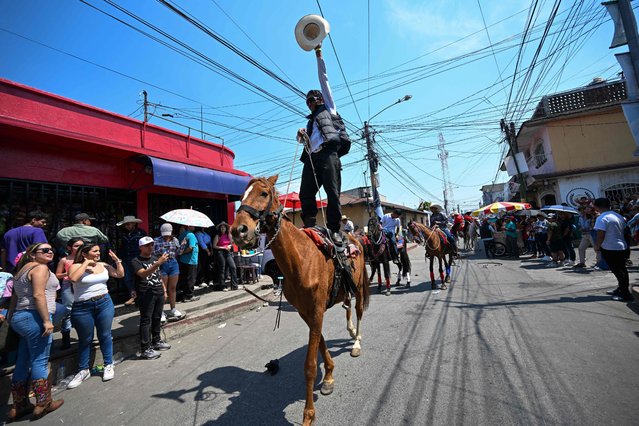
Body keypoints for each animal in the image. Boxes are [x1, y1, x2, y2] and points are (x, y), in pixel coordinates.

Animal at [230, 176, 370, 426]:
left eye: (264, 193)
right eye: (240, 197)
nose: (238, 230)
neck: (301, 260)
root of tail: (355, 237)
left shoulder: (316, 310)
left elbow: (310, 365)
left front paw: (308, 414)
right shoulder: (307, 313)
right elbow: (321, 344)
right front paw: (329, 377)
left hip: (360, 286)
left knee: (360, 310)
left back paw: (356, 342)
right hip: (346, 291)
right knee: (348, 308)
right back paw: (352, 331)